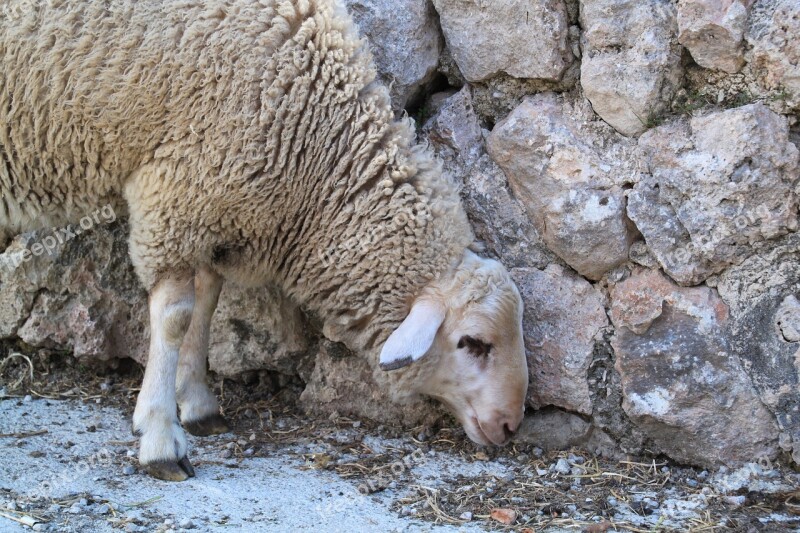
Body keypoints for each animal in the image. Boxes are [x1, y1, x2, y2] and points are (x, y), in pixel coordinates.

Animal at [3, 0, 532, 480]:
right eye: (474, 343)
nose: (511, 425)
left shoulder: (212, 209)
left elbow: (207, 305)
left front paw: (198, 404)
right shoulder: (172, 195)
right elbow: (175, 317)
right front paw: (159, 436)